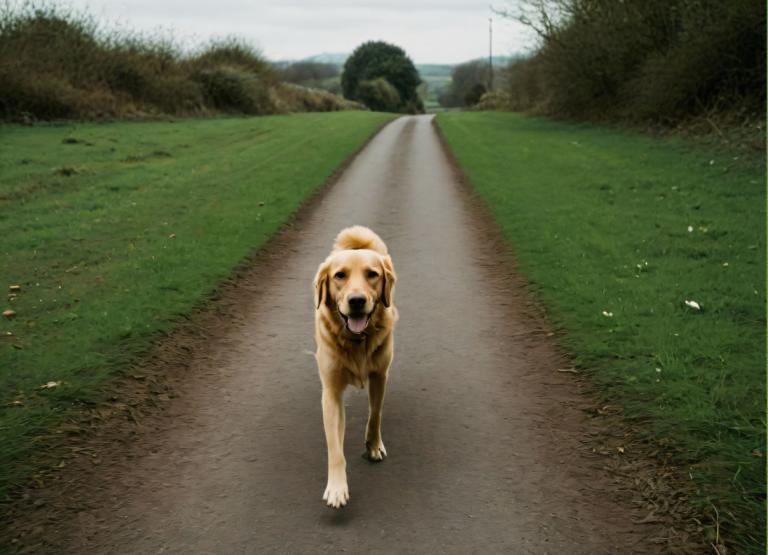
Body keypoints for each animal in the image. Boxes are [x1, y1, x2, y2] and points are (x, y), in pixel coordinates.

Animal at [312, 225, 400, 508]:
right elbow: (334, 447)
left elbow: (375, 414)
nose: (357, 301)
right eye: (340, 275)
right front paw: (337, 487)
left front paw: (373, 446)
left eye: (372, 274)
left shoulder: (380, 376)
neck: (356, 340)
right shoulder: (331, 392)